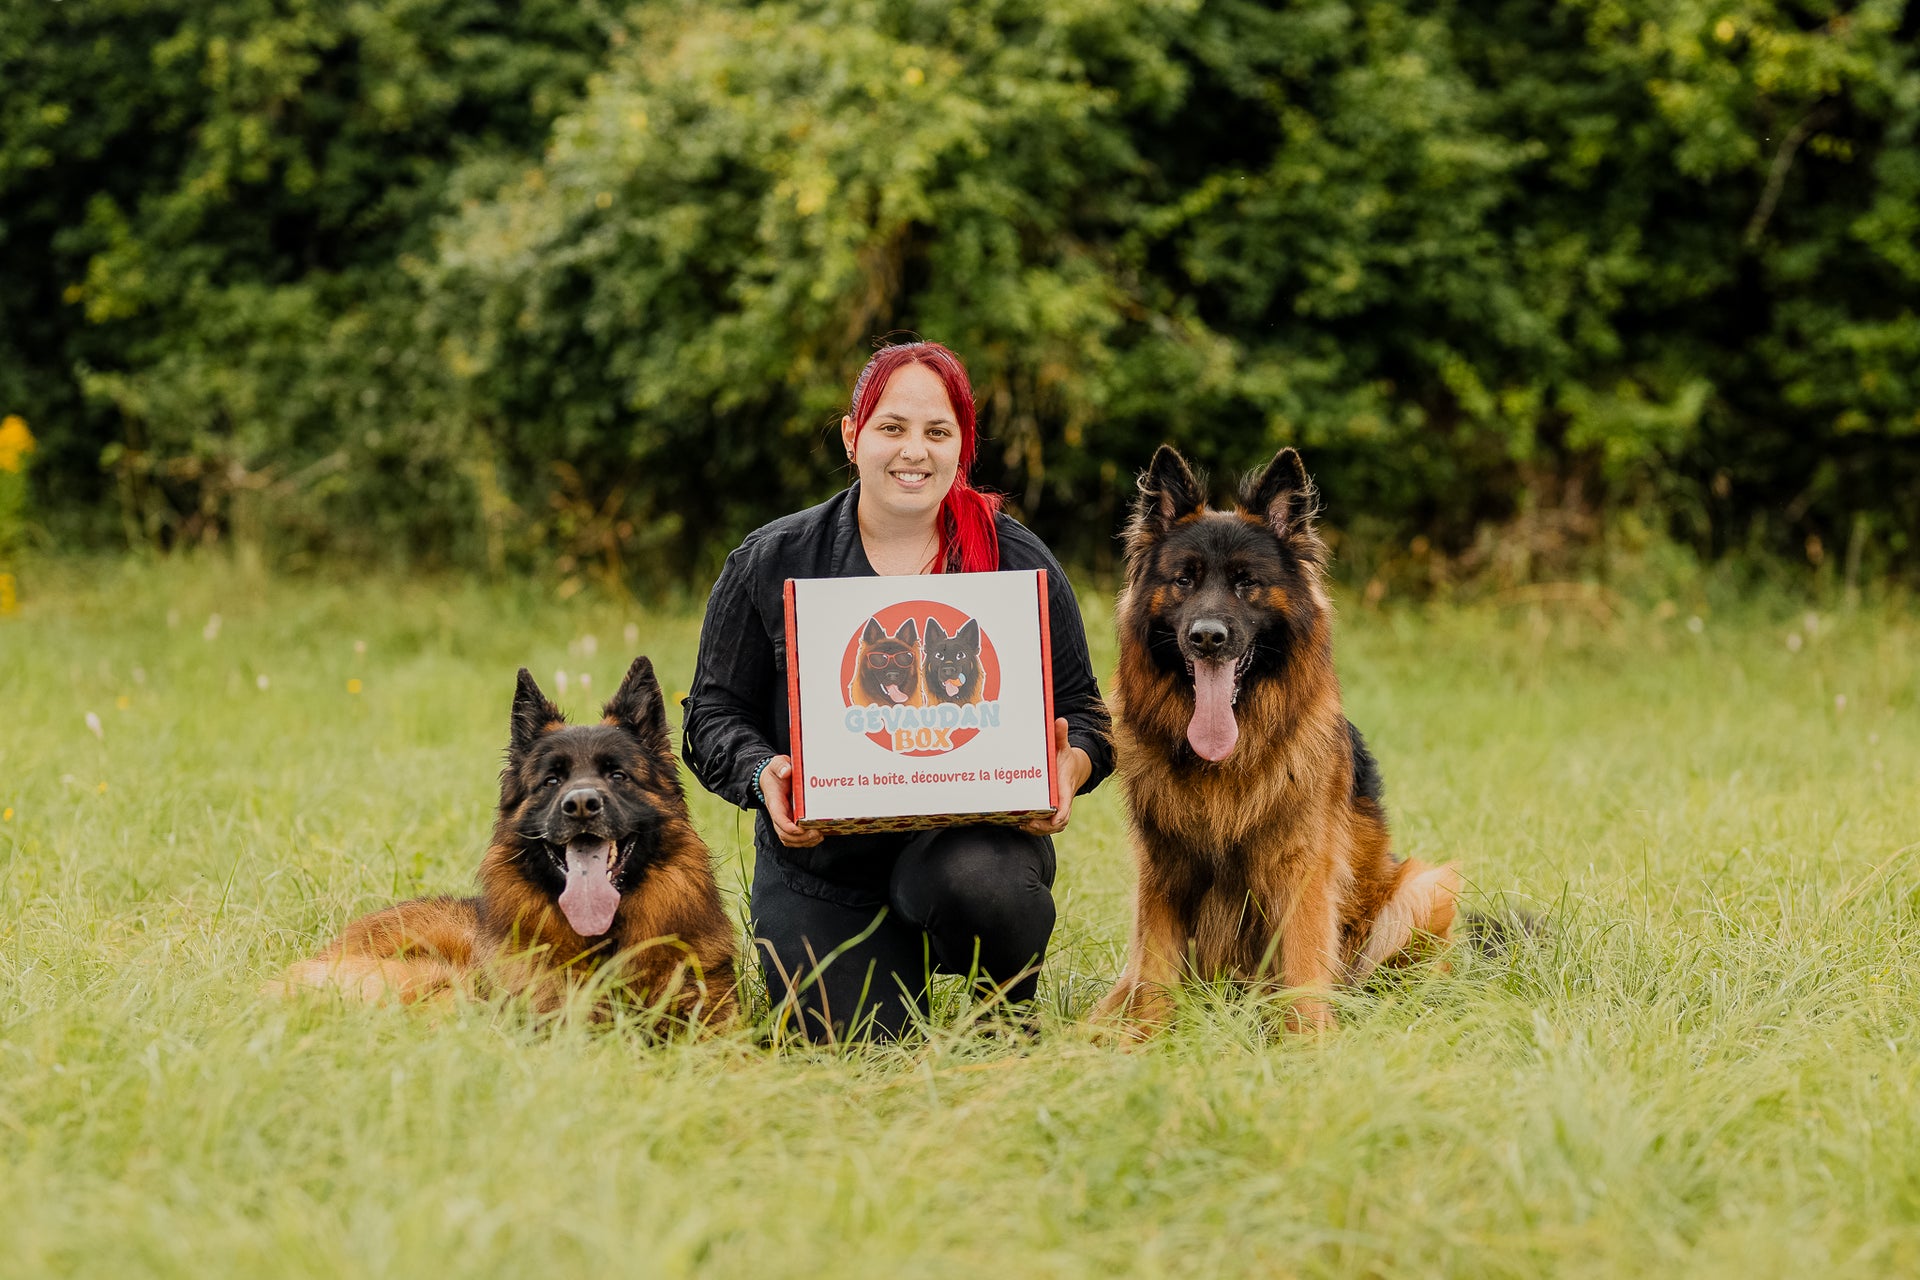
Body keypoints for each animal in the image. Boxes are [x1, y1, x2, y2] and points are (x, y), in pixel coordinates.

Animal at [1090, 445, 1459, 1036]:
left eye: (1246, 583)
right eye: (1184, 580)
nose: (1208, 637)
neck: (1224, 761)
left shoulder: (1300, 874)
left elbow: (1305, 971)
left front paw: (1310, 1042)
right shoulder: (1163, 876)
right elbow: (1154, 979)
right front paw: (1143, 1041)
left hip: (1421, 891)